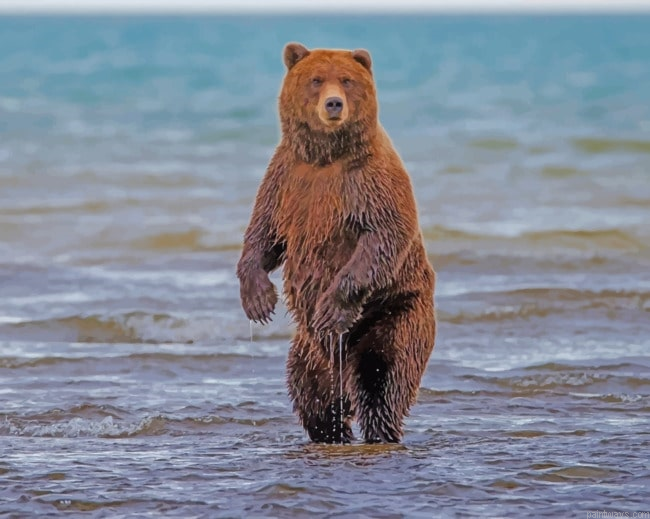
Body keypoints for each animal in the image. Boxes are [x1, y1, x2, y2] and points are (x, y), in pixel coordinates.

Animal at [236, 42, 436, 444]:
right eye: (316, 79)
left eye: (346, 80)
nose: (333, 104)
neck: (325, 157)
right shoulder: (285, 178)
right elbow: (264, 234)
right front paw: (258, 299)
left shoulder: (370, 181)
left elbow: (382, 236)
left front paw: (331, 307)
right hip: (308, 352)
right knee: (313, 396)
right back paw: (331, 431)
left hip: (395, 313)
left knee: (382, 381)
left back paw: (379, 429)